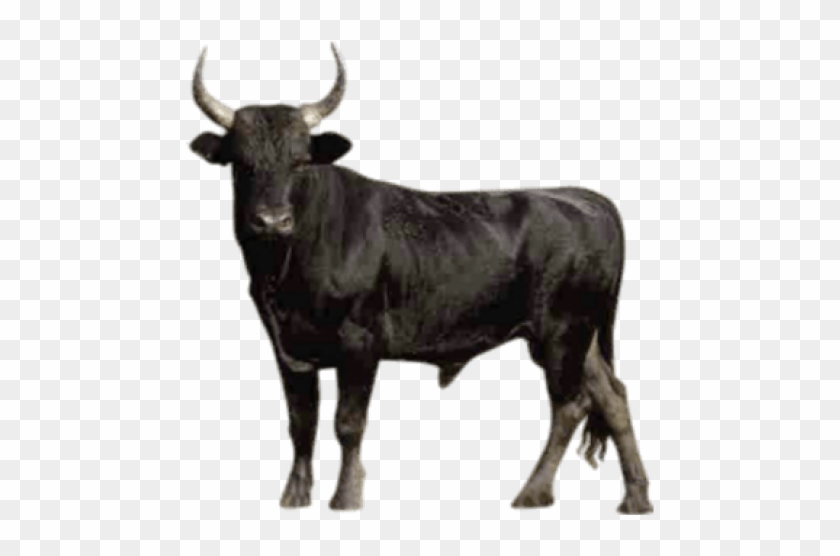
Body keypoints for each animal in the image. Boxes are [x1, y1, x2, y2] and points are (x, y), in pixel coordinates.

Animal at [189, 44, 653, 514]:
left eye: (300, 162)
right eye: (241, 164)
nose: (272, 221)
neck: (284, 270)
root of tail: (582, 196)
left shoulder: (360, 342)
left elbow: (347, 423)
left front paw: (346, 497)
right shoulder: (287, 347)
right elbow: (302, 422)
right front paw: (295, 497)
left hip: (561, 332)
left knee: (570, 405)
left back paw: (533, 492)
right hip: (585, 337)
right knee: (612, 397)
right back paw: (635, 498)